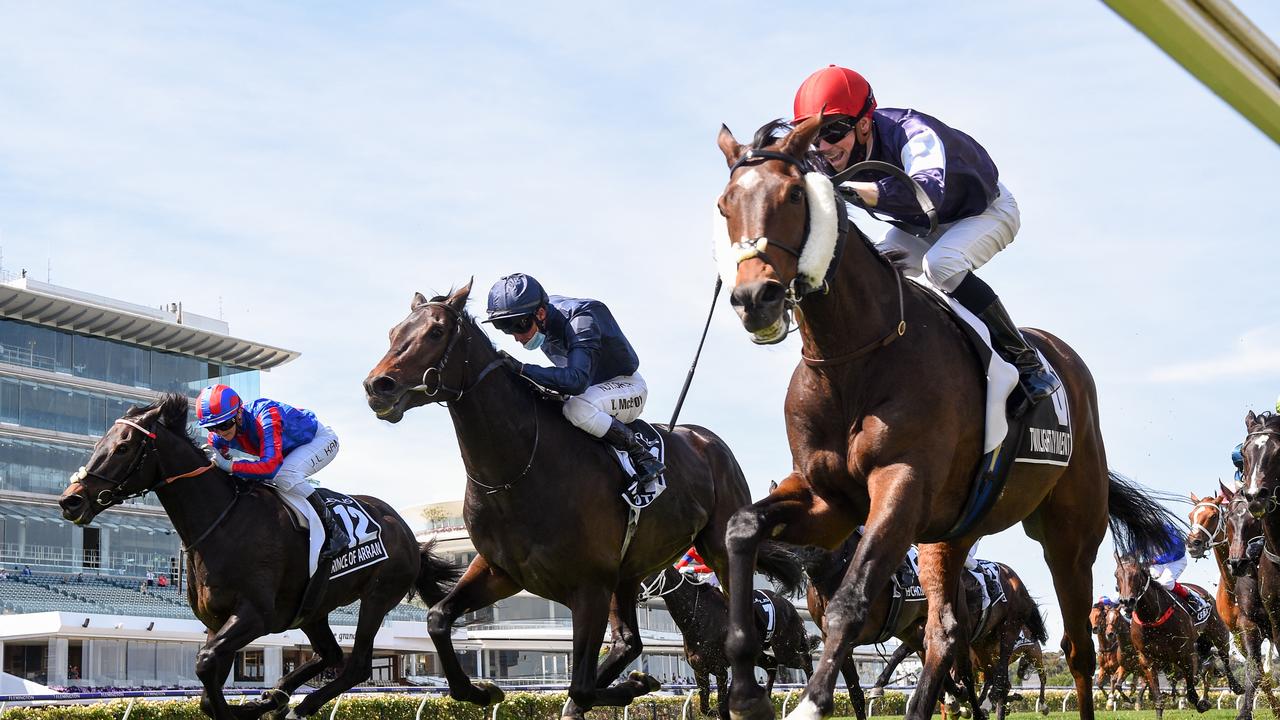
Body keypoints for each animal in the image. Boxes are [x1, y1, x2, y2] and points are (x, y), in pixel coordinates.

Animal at [61, 392, 460, 717]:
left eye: (124, 447)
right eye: (100, 443)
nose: (71, 500)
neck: (223, 523)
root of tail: (405, 531)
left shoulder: (255, 614)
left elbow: (205, 663)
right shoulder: (217, 620)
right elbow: (207, 684)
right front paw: (251, 705)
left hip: (378, 594)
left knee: (357, 664)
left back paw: (299, 704)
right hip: (313, 609)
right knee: (330, 654)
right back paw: (276, 697)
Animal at [360, 280, 798, 717]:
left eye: (436, 331)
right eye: (393, 332)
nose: (377, 386)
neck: (518, 470)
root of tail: (706, 438)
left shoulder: (589, 587)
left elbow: (581, 685)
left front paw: (636, 684)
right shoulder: (500, 570)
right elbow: (437, 618)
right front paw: (482, 690)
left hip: (715, 548)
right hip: (630, 571)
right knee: (628, 642)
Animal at [716, 116, 1172, 717]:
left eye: (793, 194)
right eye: (724, 204)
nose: (755, 298)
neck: (853, 356)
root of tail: (1067, 361)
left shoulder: (901, 484)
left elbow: (851, 600)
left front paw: (811, 702)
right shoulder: (828, 501)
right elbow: (742, 527)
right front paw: (746, 691)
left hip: (1069, 536)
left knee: (1078, 649)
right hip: (950, 533)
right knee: (948, 630)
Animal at [1116, 550, 1233, 712]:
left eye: (1137, 574)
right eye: (1116, 575)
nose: (1127, 602)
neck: (1152, 617)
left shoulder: (1185, 653)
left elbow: (1191, 692)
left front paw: (1201, 703)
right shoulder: (1147, 659)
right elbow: (1158, 697)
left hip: (1219, 633)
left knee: (1224, 657)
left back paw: (1237, 686)